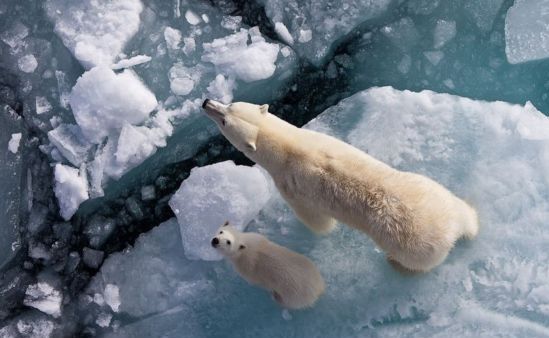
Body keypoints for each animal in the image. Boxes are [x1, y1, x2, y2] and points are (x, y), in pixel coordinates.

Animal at [202, 98, 480, 272]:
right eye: (230, 105)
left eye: (225, 119)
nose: (206, 102)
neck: (290, 147)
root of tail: (450, 230)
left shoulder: (291, 185)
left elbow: (316, 220)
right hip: (432, 189)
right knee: (463, 210)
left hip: (413, 245)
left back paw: (394, 263)